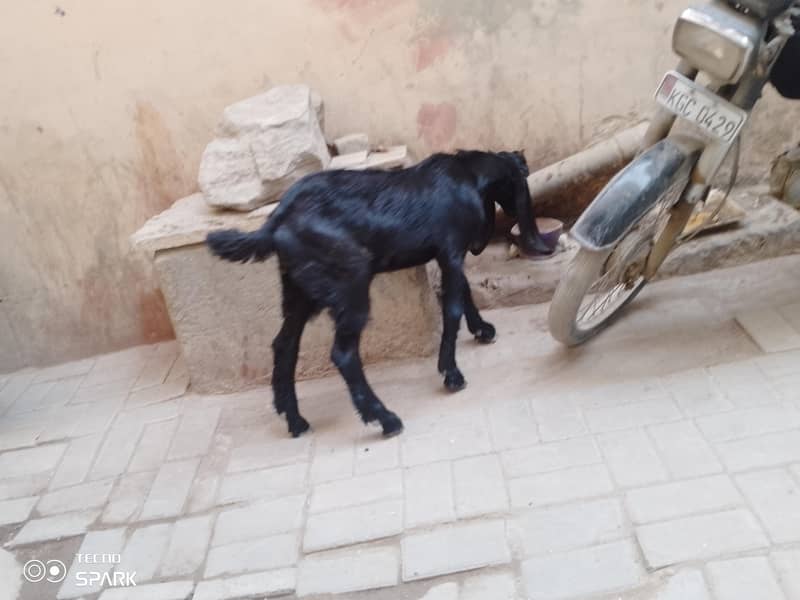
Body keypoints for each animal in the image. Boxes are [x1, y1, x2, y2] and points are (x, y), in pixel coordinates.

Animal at [206, 150, 550, 438]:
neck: (467, 174)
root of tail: (278, 219)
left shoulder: (447, 256)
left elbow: (463, 292)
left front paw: (482, 329)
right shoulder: (451, 252)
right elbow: (452, 308)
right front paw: (451, 372)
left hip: (298, 292)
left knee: (284, 345)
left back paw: (295, 420)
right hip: (351, 285)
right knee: (343, 354)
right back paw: (384, 418)